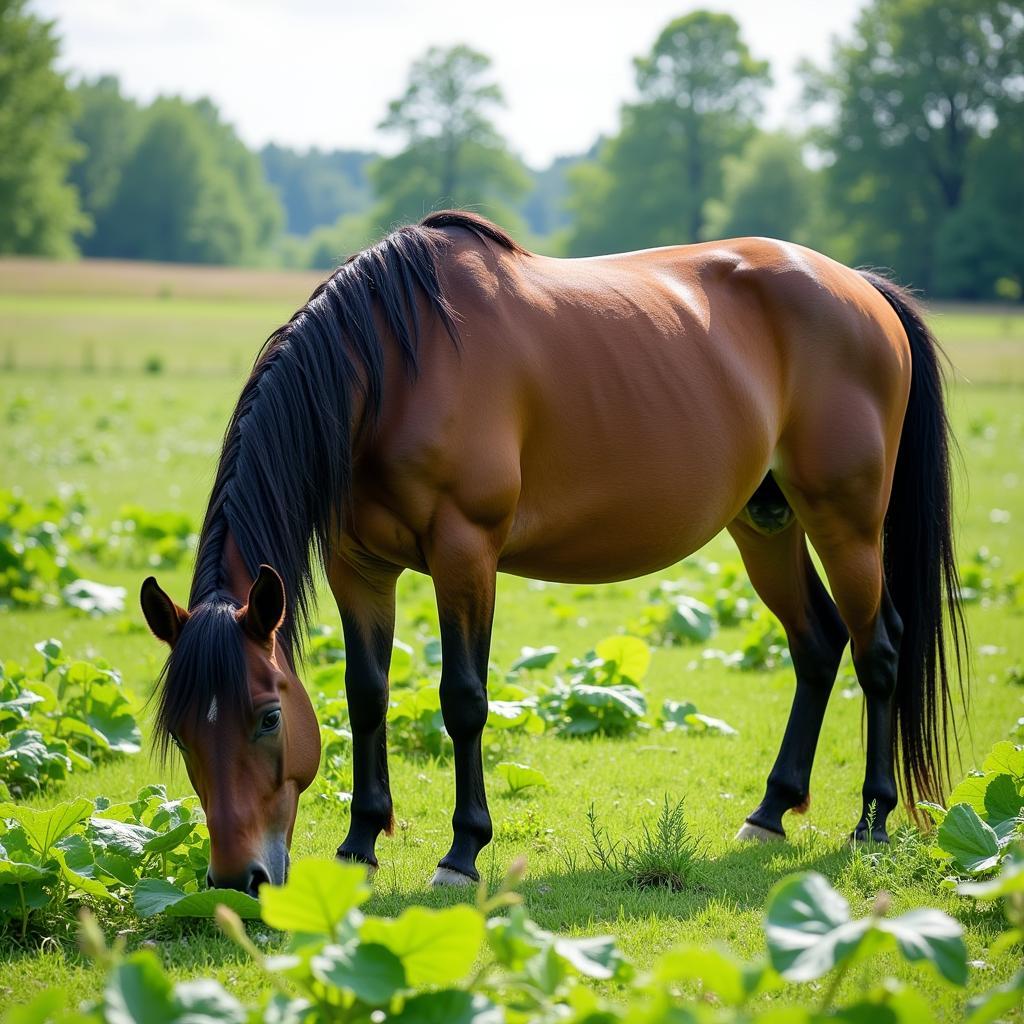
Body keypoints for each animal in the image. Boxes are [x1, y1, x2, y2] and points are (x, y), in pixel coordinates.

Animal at [140, 209, 962, 897]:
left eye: (268, 718)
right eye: (180, 729)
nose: (236, 878)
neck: (393, 370)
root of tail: (862, 289)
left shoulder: (464, 554)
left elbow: (464, 700)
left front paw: (461, 854)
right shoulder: (359, 568)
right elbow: (366, 695)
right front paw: (359, 844)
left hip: (846, 520)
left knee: (878, 650)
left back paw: (871, 821)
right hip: (766, 522)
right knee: (817, 644)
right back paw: (768, 812)